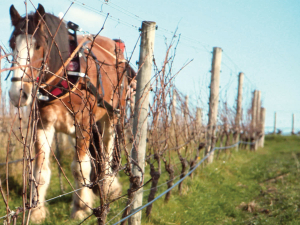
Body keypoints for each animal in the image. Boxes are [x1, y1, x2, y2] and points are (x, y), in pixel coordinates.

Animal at [8, 3, 127, 223]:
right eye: (12, 43)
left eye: (38, 45)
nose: (18, 94)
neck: (65, 77)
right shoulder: (43, 124)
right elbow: (40, 171)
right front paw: (36, 212)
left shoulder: (84, 122)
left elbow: (80, 167)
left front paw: (80, 208)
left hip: (112, 114)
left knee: (106, 149)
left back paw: (108, 184)